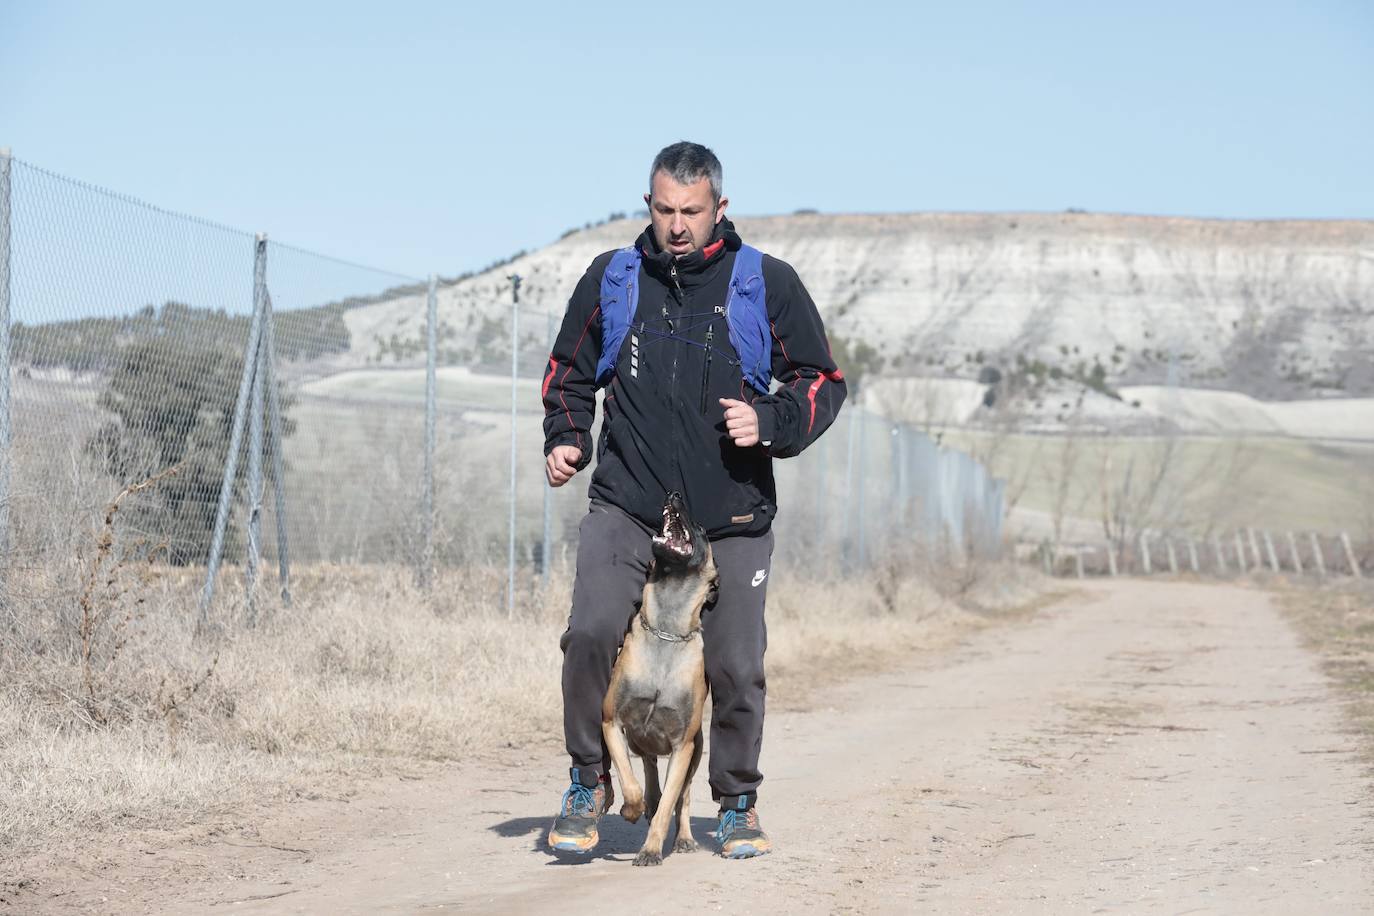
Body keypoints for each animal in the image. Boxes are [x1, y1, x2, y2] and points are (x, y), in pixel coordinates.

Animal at [607, 491, 725, 862]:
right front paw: (631, 809)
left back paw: (684, 838)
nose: (673, 495)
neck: (666, 632)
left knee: (681, 799)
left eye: (701, 528)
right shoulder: (611, 722)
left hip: (695, 752)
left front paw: (651, 849)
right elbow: (629, 782)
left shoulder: (682, 747)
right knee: (648, 773)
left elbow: (670, 804)